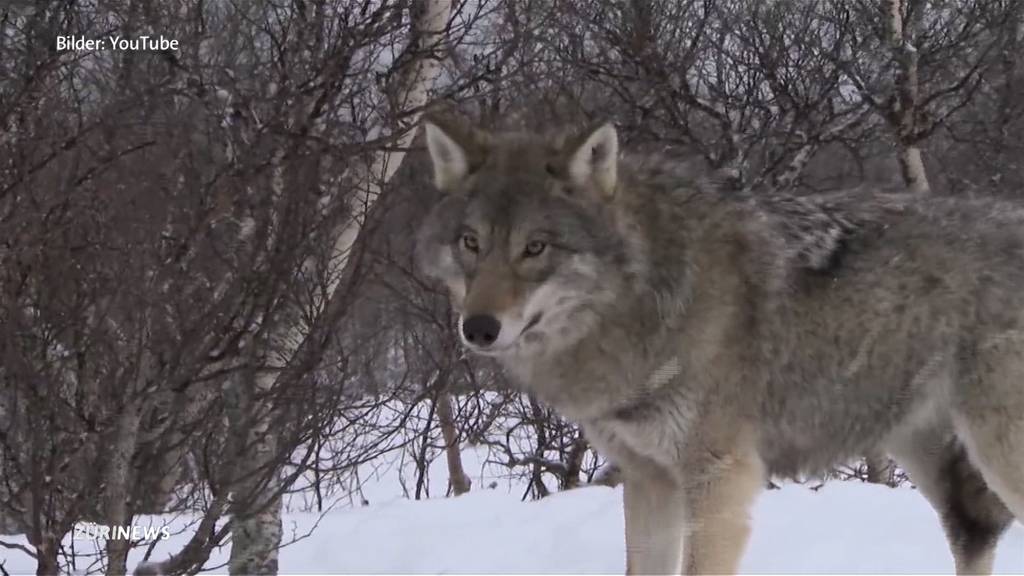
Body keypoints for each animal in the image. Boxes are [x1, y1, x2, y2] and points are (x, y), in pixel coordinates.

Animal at [413, 115, 1024, 569]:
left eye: (536, 247)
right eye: (471, 243)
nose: (479, 327)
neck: (644, 299)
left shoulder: (719, 479)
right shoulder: (648, 478)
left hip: (993, 454)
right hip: (923, 450)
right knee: (975, 533)